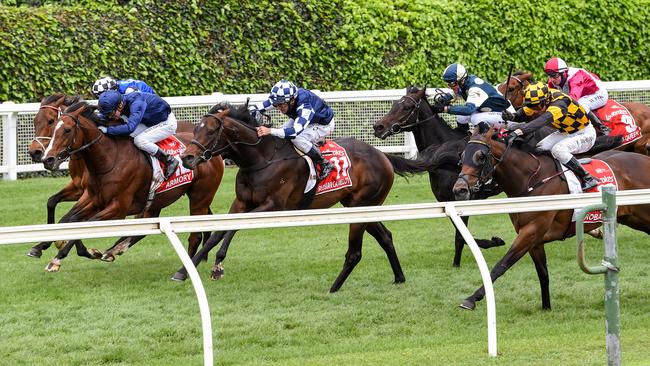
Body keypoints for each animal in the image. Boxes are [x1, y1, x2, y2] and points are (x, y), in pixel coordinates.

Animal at [40, 101, 224, 270]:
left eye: (67, 130)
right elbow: (73, 220)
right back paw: (114, 250)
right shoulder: (94, 199)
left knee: (194, 235)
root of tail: (210, 153)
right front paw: (60, 248)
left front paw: (59, 257)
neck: (110, 159)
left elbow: (85, 224)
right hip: (160, 199)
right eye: (53, 127)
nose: (47, 159)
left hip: (200, 197)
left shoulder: (118, 208)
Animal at [173, 103, 430, 292]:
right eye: (194, 130)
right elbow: (218, 233)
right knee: (386, 237)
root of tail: (383, 156)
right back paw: (399, 277)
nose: (187, 158)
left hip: (362, 206)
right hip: (360, 207)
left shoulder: (274, 206)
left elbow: (232, 229)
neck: (261, 158)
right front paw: (186, 270)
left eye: (210, 131)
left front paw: (217, 265)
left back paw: (333, 288)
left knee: (355, 253)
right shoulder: (241, 202)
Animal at [372, 87, 504, 268]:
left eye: (406, 107)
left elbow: (461, 237)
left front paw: (494, 242)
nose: (378, 127)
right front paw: (457, 263)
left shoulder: (464, 199)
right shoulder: (445, 200)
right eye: (394, 104)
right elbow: (461, 235)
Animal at [448, 127, 648, 310]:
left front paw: (471, 299)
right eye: (462, 155)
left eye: (481, 156)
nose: (459, 190)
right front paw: (546, 307)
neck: (530, 180)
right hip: (633, 218)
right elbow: (542, 273)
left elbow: (502, 264)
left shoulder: (531, 231)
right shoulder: (534, 240)